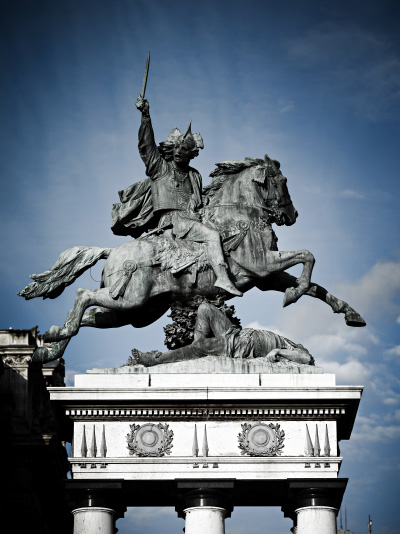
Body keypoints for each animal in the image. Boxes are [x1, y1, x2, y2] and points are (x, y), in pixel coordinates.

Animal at [20, 155, 368, 364]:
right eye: (282, 182)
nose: (292, 215)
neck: (239, 216)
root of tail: (113, 251)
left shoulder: (266, 276)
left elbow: (316, 286)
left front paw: (349, 312)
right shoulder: (262, 264)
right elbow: (308, 256)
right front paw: (293, 295)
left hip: (135, 311)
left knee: (91, 317)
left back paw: (50, 343)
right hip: (131, 300)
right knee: (83, 296)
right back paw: (58, 335)